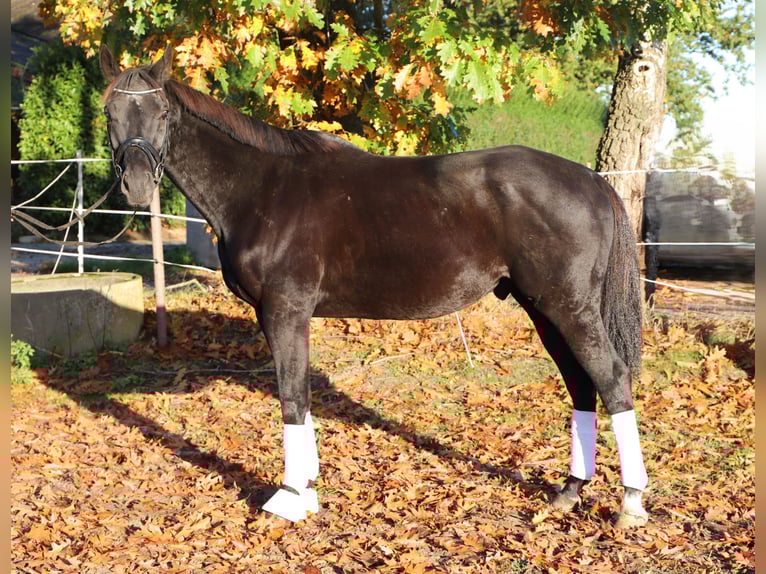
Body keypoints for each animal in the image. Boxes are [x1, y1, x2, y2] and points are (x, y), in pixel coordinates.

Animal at [100, 45, 649, 528]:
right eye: (110, 113)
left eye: (161, 112)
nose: (136, 186)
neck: (261, 188)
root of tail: (590, 180)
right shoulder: (282, 315)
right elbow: (300, 396)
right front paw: (308, 491)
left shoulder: (284, 311)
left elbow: (292, 397)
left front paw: (290, 498)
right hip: (542, 307)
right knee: (581, 384)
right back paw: (570, 491)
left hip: (568, 307)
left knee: (612, 380)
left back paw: (630, 503)